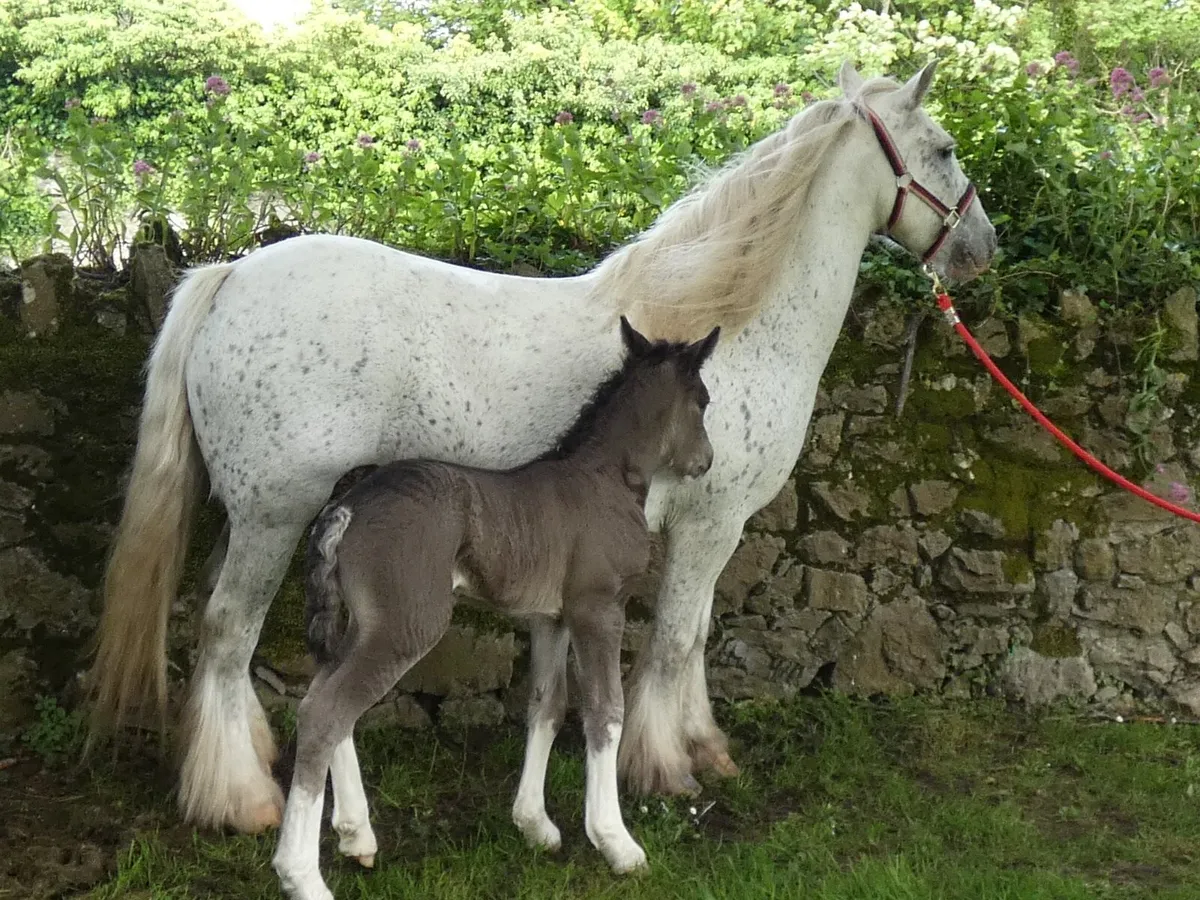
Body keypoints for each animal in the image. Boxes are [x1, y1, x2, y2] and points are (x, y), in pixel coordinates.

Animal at [87, 59, 997, 834]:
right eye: (945, 149)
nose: (982, 247)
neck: (731, 324)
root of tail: (231, 276)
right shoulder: (709, 524)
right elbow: (673, 641)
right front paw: (664, 770)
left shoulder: (716, 529)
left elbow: (696, 635)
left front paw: (704, 748)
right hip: (275, 515)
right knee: (227, 632)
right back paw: (238, 799)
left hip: (261, 518)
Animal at [271, 319, 719, 899]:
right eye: (703, 401)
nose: (706, 461)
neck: (608, 480)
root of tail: (346, 506)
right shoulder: (599, 608)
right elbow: (605, 710)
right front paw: (616, 843)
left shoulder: (552, 618)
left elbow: (547, 706)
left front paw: (535, 825)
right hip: (408, 624)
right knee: (324, 712)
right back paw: (302, 876)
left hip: (365, 623)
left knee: (325, 696)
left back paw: (356, 835)